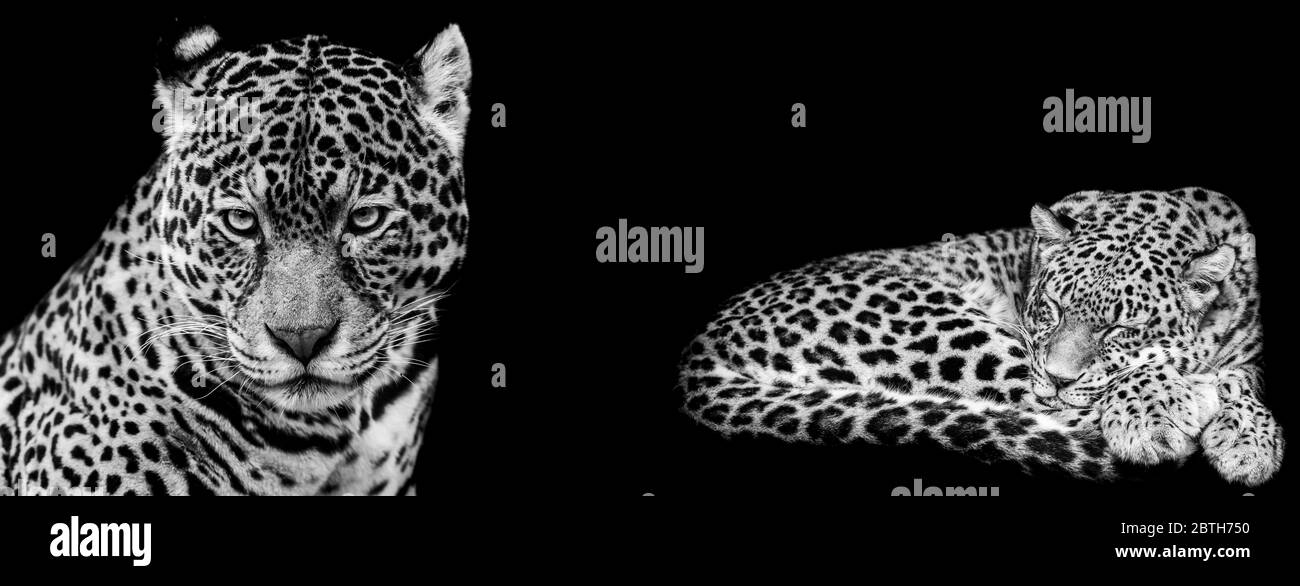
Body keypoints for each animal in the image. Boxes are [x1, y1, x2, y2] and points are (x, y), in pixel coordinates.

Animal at [678, 188, 1283, 485]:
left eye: (1120, 328)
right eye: (1052, 308)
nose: (1058, 379)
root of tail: (700, 347)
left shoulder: (1251, 349)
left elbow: (1243, 380)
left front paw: (1249, 442)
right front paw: (1158, 413)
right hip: (949, 327)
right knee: (1053, 412)